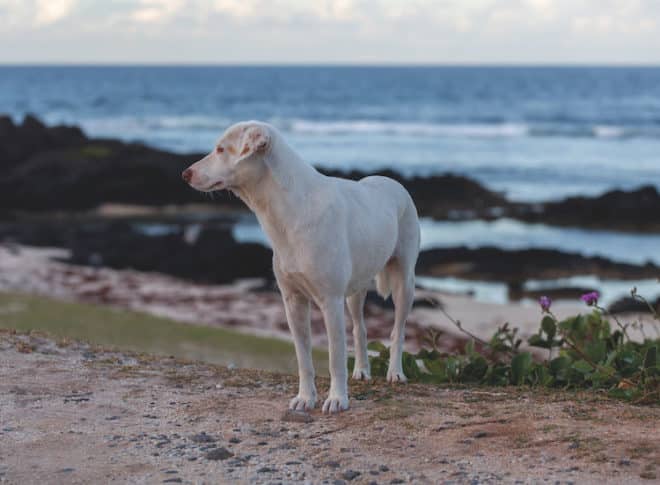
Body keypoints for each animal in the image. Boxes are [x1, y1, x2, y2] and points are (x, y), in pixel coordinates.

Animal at [182, 121, 418, 412]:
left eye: (221, 149)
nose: (185, 174)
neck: (289, 209)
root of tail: (391, 181)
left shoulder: (330, 301)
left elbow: (335, 357)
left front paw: (337, 399)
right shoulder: (293, 300)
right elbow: (303, 358)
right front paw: (305, 398)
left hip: (404, 283)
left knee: (398, 330)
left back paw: (395, 372)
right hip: (355, 291)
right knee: (360, 328)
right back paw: (362, 370)